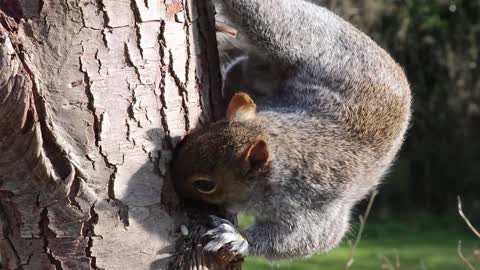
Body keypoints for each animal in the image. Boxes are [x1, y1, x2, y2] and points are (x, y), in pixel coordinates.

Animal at [171, 0, 410, 262]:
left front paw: (237, 238)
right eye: (195, 135)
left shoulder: (313, 207)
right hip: (285, 40)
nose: (171, 182)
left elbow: (307, 239)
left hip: (290, 39)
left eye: (205, 185)